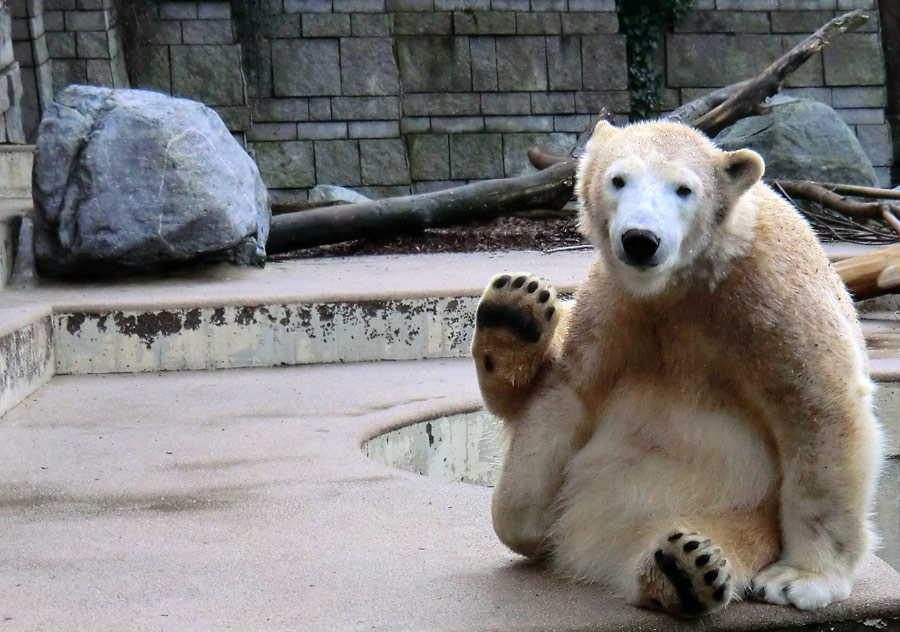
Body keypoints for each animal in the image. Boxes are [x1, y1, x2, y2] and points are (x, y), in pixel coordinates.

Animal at [472, 119, 884, 616]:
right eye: (618, 179)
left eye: (684, 189)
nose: (640, 239)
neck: (685, 283)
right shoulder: (614, 304)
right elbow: (569, 393)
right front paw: (521, 512)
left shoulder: (772, 297)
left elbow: (819, 407)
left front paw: (801, 580)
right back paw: (512, 314)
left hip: (741, 510)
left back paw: (686, 568)